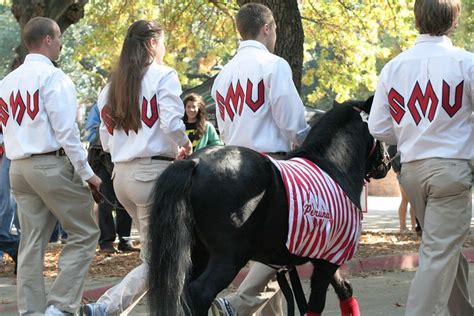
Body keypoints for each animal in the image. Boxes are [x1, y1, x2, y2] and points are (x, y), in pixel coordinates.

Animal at [147, 97, 388, 314]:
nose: (386, 162)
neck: (333, 167)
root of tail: (194, 162)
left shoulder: (324, 256)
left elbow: (344, 289)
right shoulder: (330, 259)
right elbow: (316, 303)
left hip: (198, 254)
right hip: (228, 258)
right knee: (199, 293)